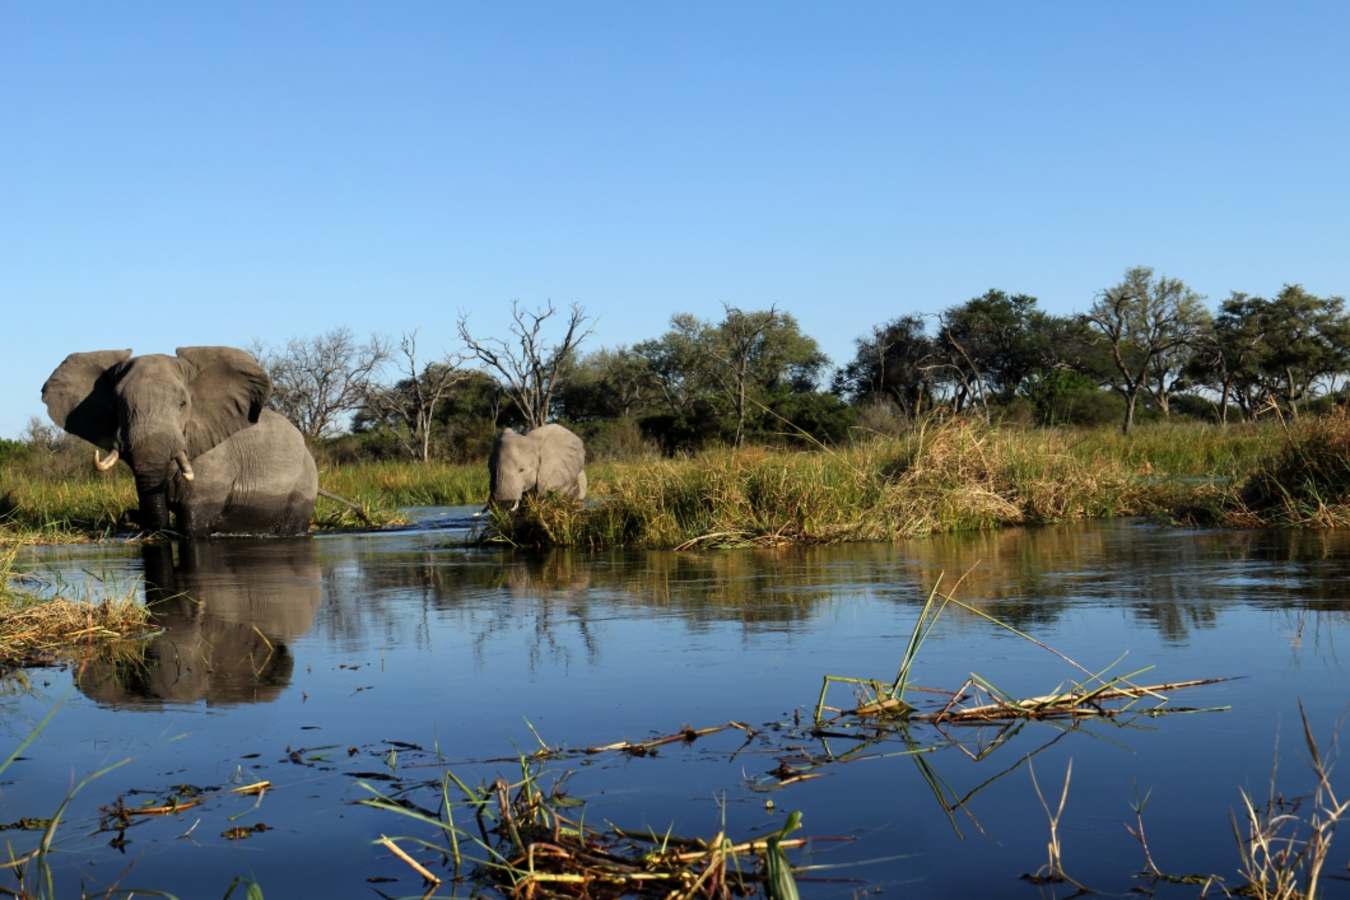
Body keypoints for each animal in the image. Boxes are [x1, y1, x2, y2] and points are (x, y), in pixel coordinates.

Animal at [41, 346, 318, 536]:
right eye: (118, 406)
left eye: (182, 404)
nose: (128, 515)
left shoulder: (215, 459)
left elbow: (191, 525)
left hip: (303, 485)